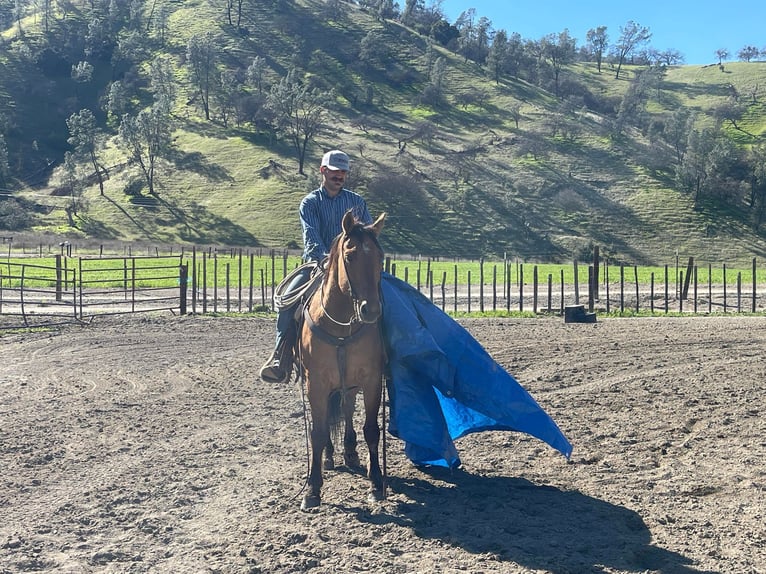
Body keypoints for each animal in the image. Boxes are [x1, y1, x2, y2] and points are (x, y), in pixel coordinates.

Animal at [296, 212, 388, 512]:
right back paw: (328, 457)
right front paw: (312, 490)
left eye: (380, 257)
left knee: (347, 410)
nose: (371, 310)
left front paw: (376, 484)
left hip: (350, 384)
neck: (340, 329)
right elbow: (317, 431)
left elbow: (371, 430)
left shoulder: (371, 379)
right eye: (350, 255)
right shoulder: (316, 382)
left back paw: (349, 452)